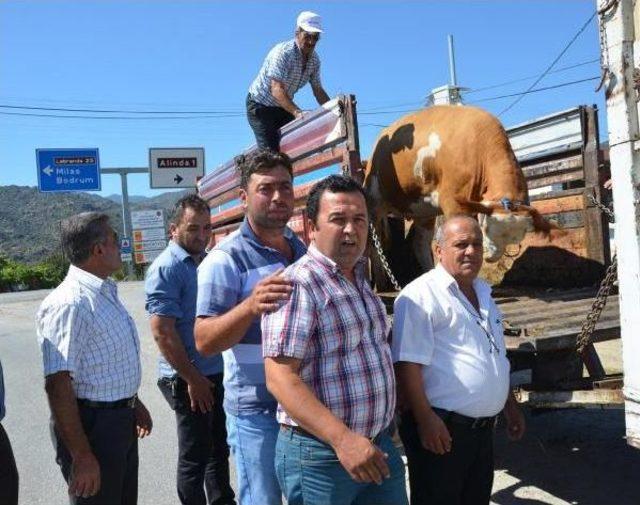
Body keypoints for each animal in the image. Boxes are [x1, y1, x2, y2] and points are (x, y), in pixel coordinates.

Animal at [362, 104, 552, 274]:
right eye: (487, 228)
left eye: (516, 238)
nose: (491, 257)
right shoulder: (453, 202)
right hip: (374, 200)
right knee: (373, 243)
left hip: (423, 210)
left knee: (420, 244)